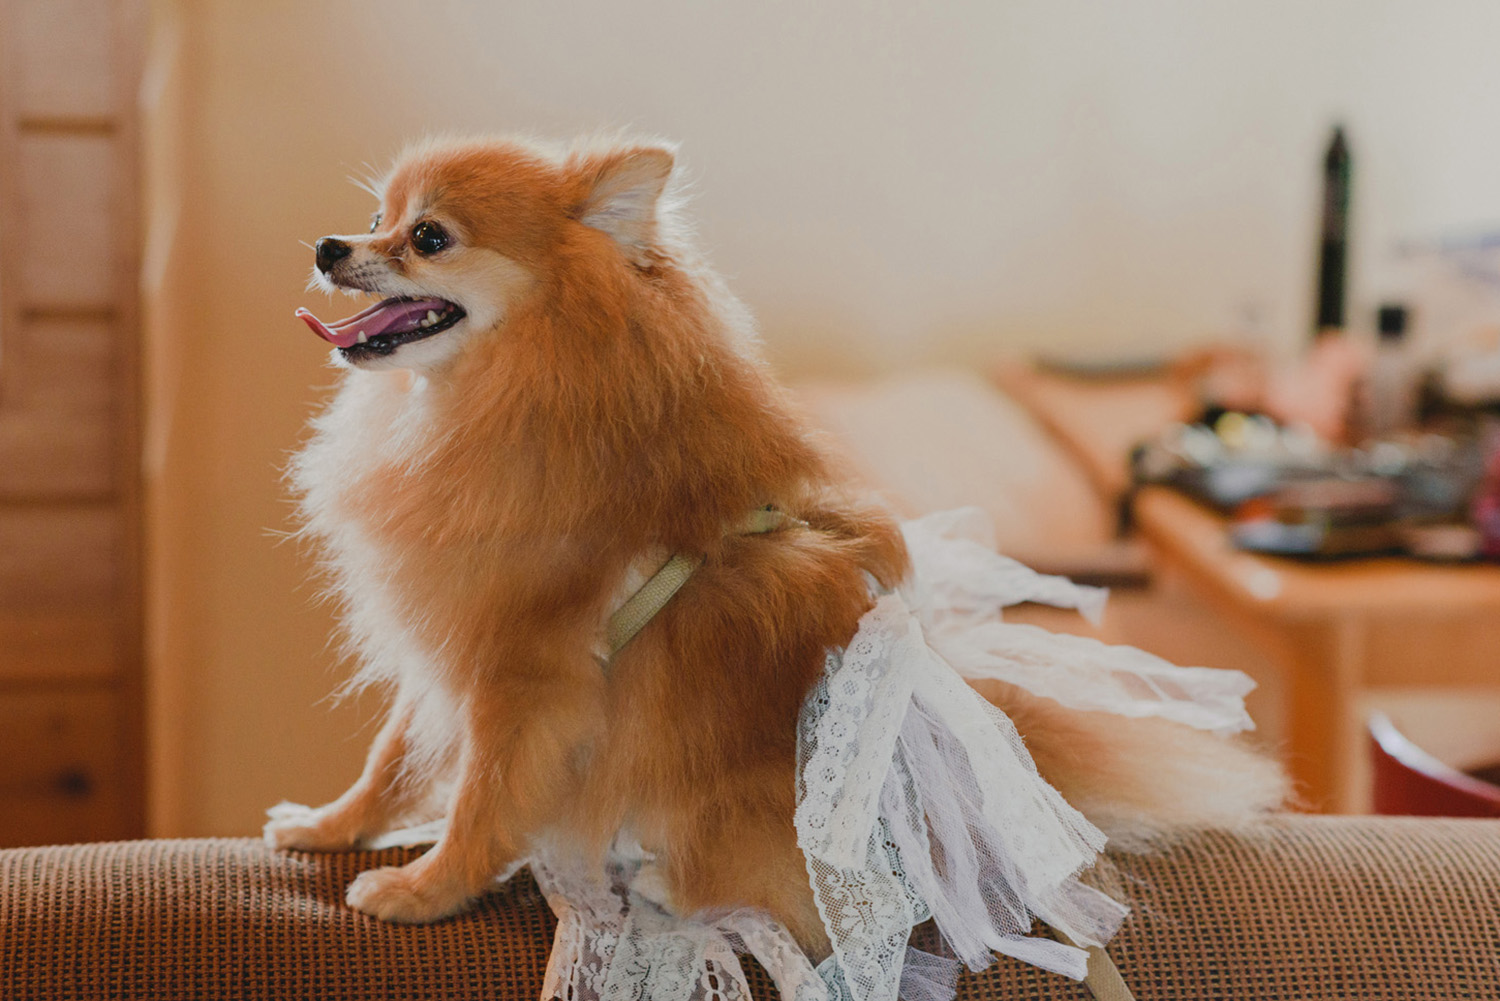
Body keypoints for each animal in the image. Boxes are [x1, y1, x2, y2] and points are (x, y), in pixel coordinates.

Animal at [264, 135, 1284, 948]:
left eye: (430, 237)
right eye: (374, 216)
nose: (327, 246)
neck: (510, 394)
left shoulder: (523, 669)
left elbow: (482, 793)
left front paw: (423, 887)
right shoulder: (450, 632)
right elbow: (393, 755)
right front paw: (330, 824)